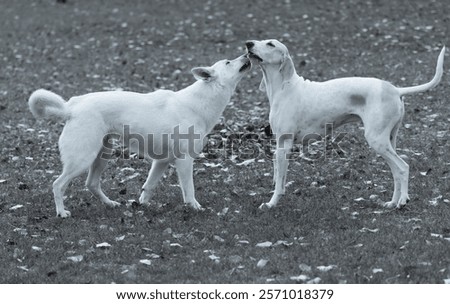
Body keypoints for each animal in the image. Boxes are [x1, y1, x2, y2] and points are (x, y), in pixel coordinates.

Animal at [29, 54, 251, 216]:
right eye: (228, 62)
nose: (247, 52)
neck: (199, 102)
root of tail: (70, 108)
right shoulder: (184, 160)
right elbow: (189, 189)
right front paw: (195, 207)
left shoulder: (161, 162)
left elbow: (148, 186)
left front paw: (141, 205)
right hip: (82, 159)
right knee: (58, 185)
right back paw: (61, 212)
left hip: (102, 155)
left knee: (91, 184)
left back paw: (110, 204)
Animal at [248, 39, 444, 210]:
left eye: (270, 44)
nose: (248, 43)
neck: (285, 88)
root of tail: (395, 90)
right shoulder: (281, 146)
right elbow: (279, 175)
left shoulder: (284, 144)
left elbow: (279, 183)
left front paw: (271, 204)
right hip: (388, 141)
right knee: (396, 172)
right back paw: (392, 203)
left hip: (377, 141)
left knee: (403, 168)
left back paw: (403, 201)